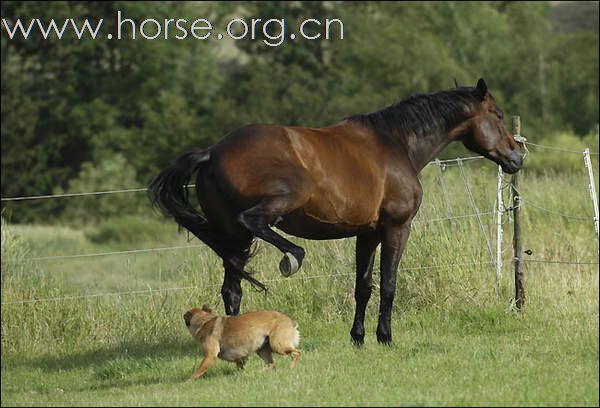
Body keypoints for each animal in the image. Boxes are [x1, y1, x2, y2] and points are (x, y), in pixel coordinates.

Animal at [148, 77, 524, 344]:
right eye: (498, 115)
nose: (516, 156)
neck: (395, 144)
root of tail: (212, 152)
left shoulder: (367, 234)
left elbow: (363, 286)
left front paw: (358, 338)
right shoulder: (396, 228)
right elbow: (388, 284)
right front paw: (384, 337)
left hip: (233, 239)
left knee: (232, 289)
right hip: (277, 204)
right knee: (256, 223)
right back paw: (293, 256)